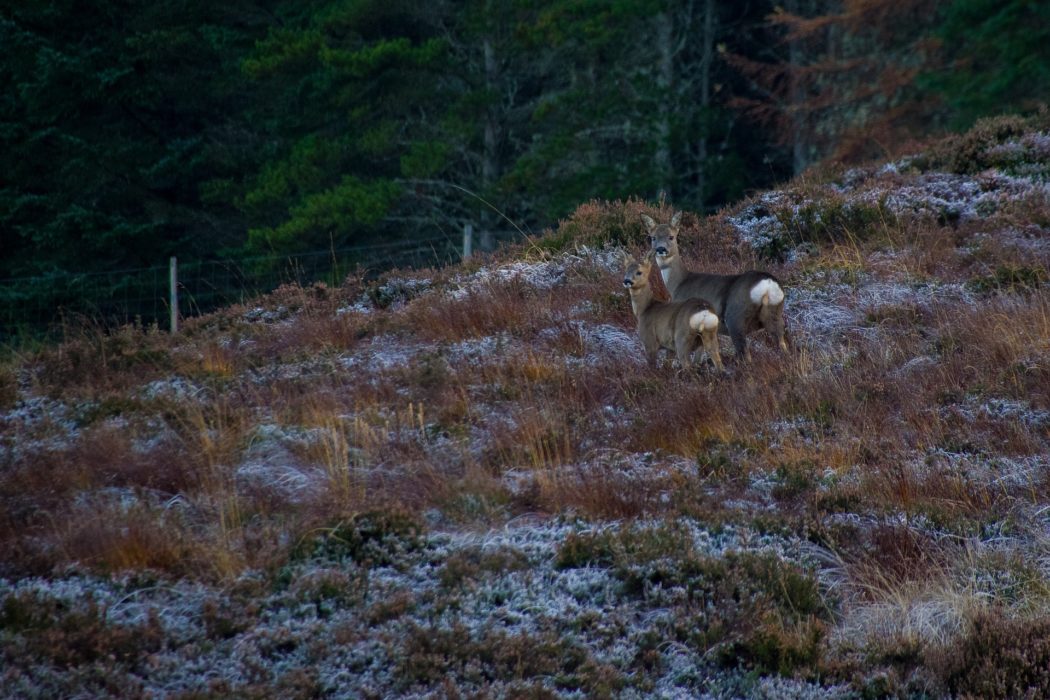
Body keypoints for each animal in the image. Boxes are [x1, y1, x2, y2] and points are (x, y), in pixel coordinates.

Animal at [643, 211, 788, 362]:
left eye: (671, 236)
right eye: (653, 238)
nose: (661, 249)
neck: (678, 283)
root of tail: (768, 283)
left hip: (735, 318)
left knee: (746, 354)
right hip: (775, 312)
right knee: (783, 344)